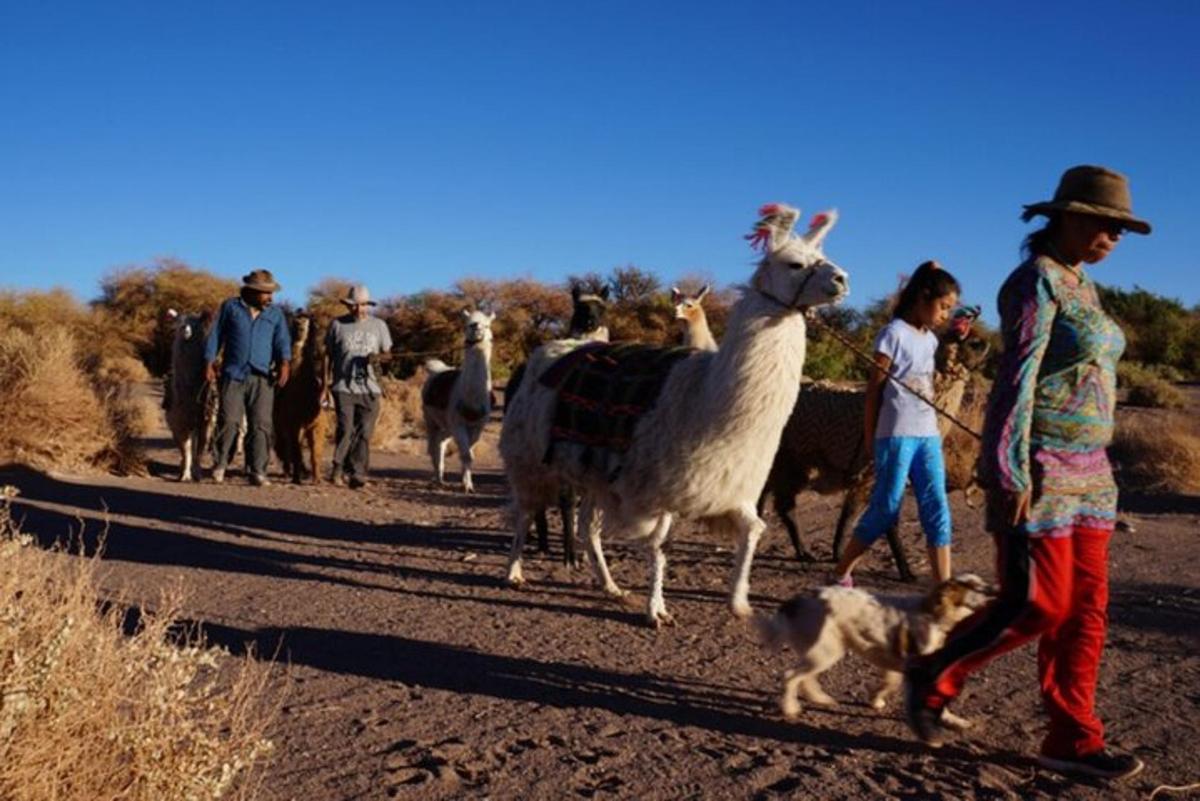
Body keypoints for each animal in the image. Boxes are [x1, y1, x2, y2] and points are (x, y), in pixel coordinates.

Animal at [758, 568, 993, 724]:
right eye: (975, 587)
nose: (995, 590)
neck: (934, 615)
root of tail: (796, 601)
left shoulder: (894, 664)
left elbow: (889, 683)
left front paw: (875, 700)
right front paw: (953, 721)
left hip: (822, 652)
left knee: (805, 678)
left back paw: (821, 699)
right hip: (826, 652)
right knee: (791, 676)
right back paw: (790, 708)